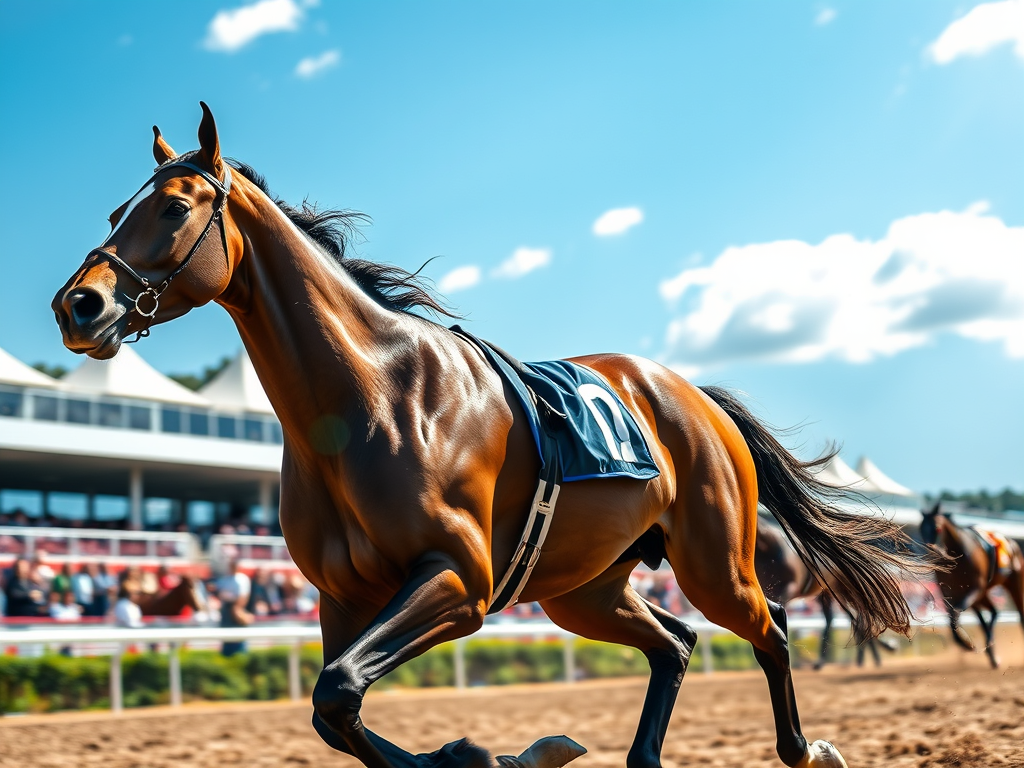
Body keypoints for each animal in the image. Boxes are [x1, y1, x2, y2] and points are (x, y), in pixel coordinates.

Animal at [919, 502, 1024, 668]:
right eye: (921, 528)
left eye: (937, 528)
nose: (931, 553)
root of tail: (1013, 543)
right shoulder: (949, 592)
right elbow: (952, 617)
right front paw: (966, 643)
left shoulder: (974, 589)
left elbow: (955, 613)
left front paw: (967, 643)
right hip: (983, 595)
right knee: (993, 612)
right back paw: (992, 653)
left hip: (1014, 585)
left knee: (1019, 614)